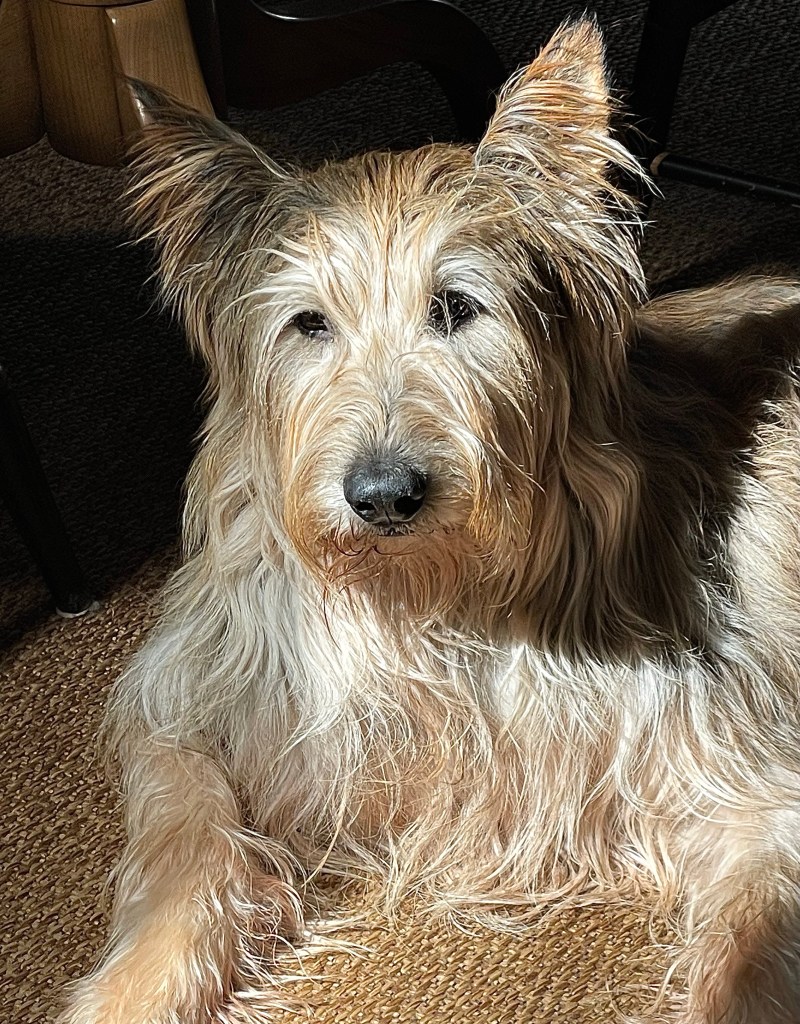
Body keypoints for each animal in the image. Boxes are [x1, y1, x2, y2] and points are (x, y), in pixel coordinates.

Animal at [60, 18, 800, 1024]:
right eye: (308, 324)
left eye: (456, 307)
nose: (382, 495)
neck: (428, 604)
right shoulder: (202, 705)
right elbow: (188, 845)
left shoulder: (739, 775)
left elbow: (753, 957)